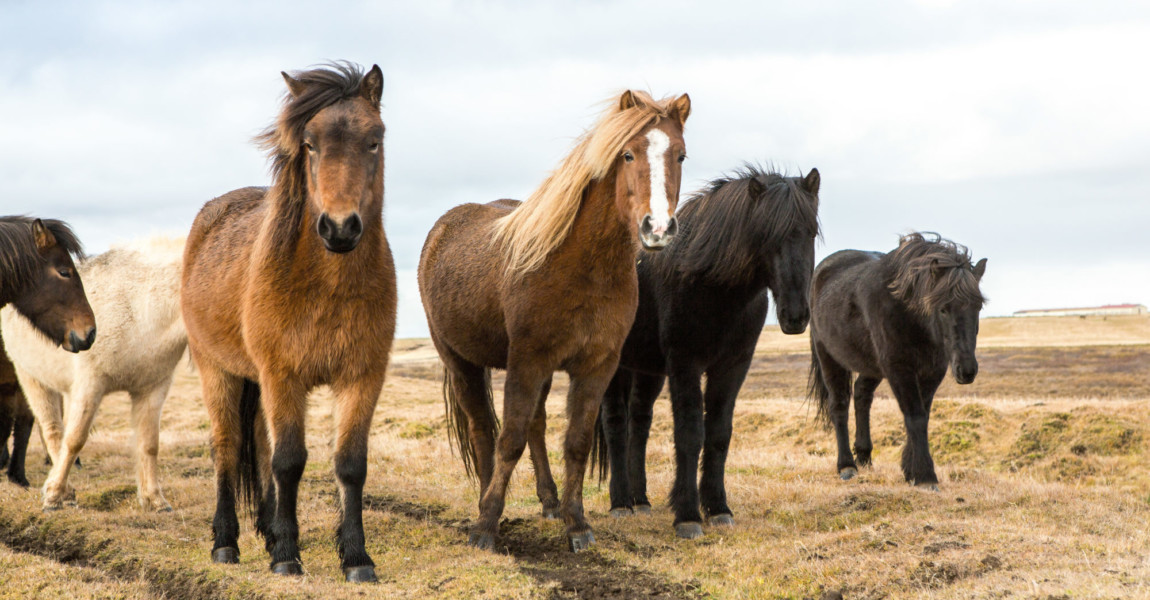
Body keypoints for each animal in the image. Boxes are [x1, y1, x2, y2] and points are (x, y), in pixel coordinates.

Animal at [1, 233, 186, 508]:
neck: (140, 309)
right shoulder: (90, 385)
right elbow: (74, 439)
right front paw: (54, 493)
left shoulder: (153, 388)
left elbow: (149, 444)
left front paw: (154, 499)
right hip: (31, 378)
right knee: (50, 429)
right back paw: (60, 490)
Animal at [179, 62, 395, 581]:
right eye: (310, 143)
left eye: (374, 140)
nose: (340, 228)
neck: (326, 289)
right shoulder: (284, 377)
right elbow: (290, 461)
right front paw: (287, 557)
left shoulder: (362, 377)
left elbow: (349, 464)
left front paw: (356, 557)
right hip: (219, 373)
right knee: (227, 447)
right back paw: (227, 542)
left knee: (257, 444)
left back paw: (268, 528)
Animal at [579, 164, 823, 537]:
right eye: (766, 235)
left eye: (810, 233)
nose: (795, 315)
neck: (709, 283)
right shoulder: (685, 364)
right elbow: (690, 434)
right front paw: (688, 515)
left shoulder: (733, 367)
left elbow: (719, 434)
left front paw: (719, 507)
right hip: (615, 365)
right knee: (616, 424)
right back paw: (621, 503)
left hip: (647, 370)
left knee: (640, 422)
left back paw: (640, 500)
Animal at [809, 231, 989, 487]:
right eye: (943, 309)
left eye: (978, 306)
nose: (967, 371)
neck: (906, 309)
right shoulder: (899, 369)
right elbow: (914, 416)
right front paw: (925, 476)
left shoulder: (933, 370)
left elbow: (923, 414)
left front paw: (910, 469)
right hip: (829, 356)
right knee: (839, 404)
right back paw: (847, 465)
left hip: (871, 366)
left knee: (862, 395)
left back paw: (864, 456)